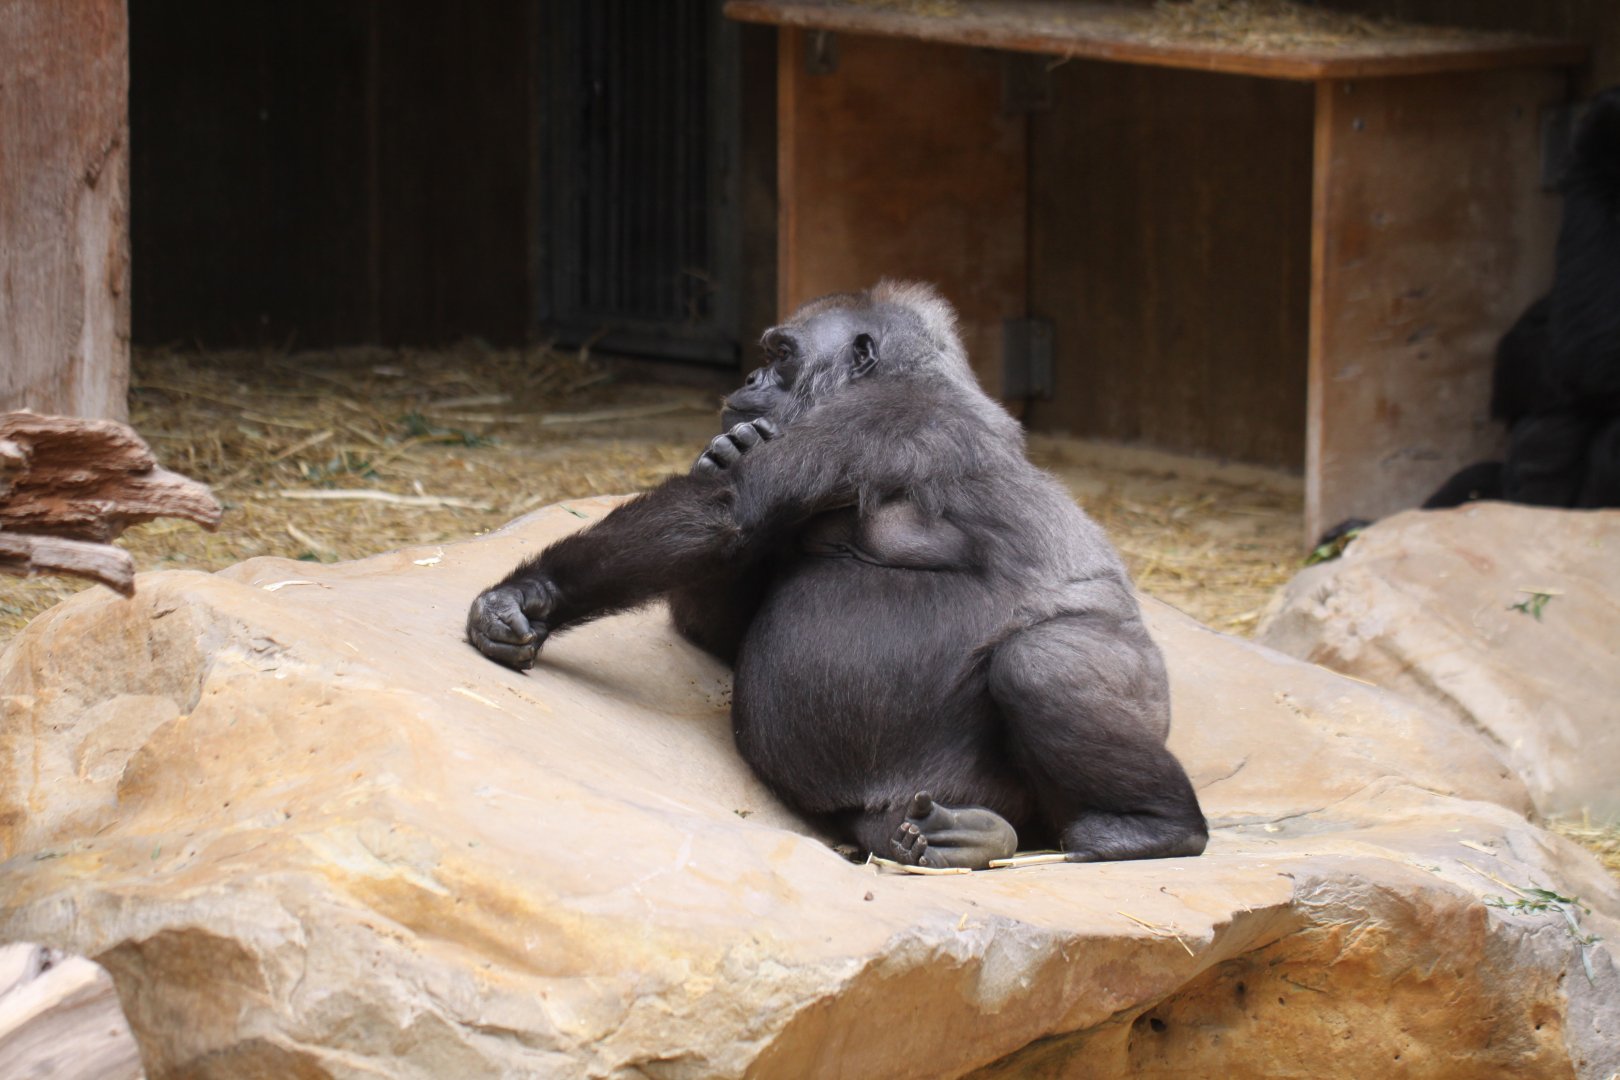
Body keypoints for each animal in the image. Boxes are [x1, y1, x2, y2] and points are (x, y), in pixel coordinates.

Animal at [467, 282, 1209, 869]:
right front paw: (728, 450)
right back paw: (969, 839)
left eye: (781, 354)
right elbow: (723, 626)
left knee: (1043, 664)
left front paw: (528, 595)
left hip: (1147, 692)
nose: (747, 384)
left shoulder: (876, 416)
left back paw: (1153, 830)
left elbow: (725, 510)